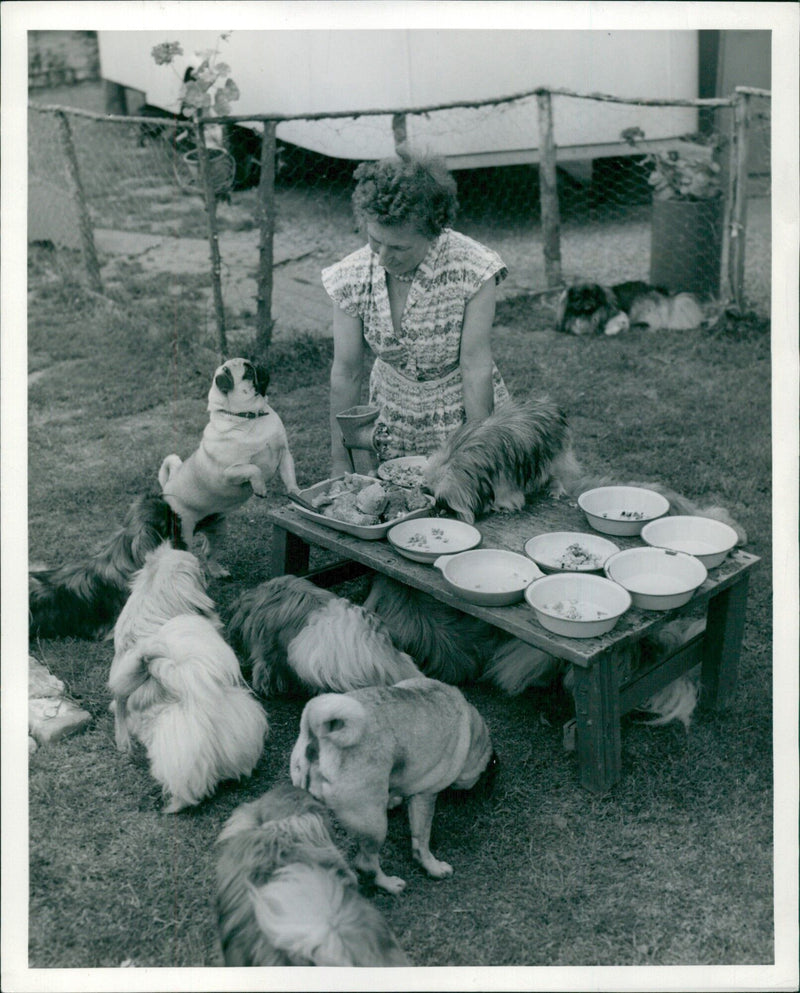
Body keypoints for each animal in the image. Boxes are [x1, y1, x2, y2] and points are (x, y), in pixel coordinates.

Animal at [158, 356, 302, 576]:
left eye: (252, 366)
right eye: (248, 372)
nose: (259, 365)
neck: (251, 416)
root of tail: (168, 486)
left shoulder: (284, 454)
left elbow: (289, 476)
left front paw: (296, 493)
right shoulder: (230, 473)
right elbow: (254, 469)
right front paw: (260, 488)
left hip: (218, 529)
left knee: (208, 552)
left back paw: (218, 572)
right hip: (183, 534)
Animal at [424, 396, 580, 524]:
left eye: (442, 500)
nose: (437, 507)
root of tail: (552, 406)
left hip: (557, 458)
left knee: (557, 474)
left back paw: (555, 488)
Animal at [556, 280, 708, 338]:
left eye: (593, 295)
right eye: (577, 298)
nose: (586, 300)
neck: (588, 315)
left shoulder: (621, 315)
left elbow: (615, 324)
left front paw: (611, 330)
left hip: (640, 307)